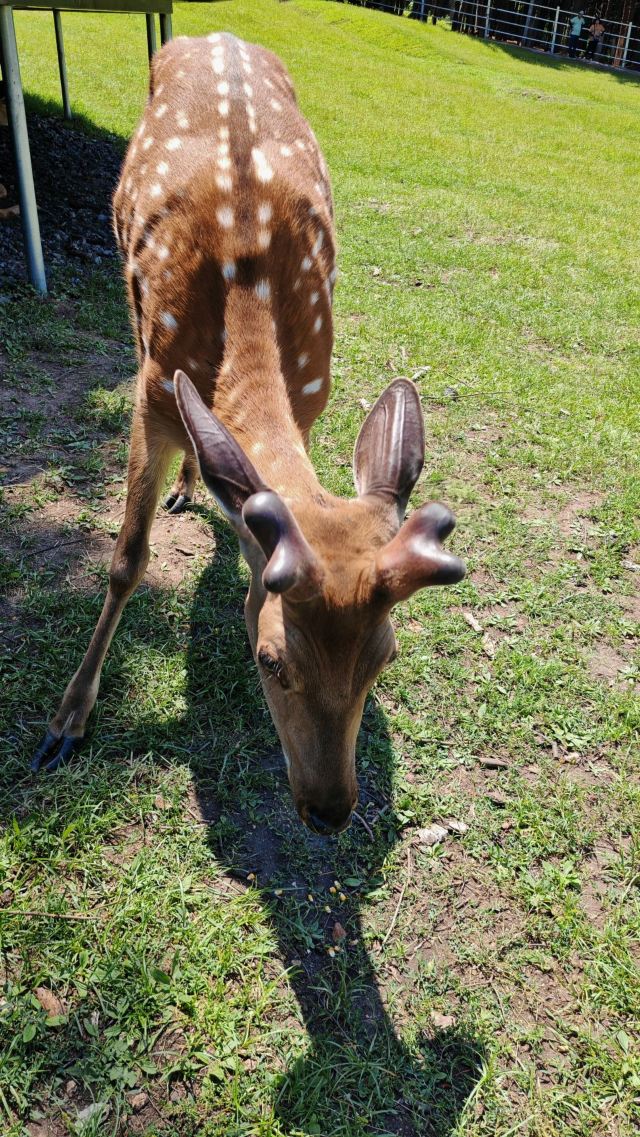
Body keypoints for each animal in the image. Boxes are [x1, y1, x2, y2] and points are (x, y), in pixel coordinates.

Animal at [31, 32, 465, 836]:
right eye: (270, 659)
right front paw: (67, 722)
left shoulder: (312, 399)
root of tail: (218, 37)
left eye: (385, 658)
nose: (330, 811)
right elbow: (125, 561)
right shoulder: (149, 392)